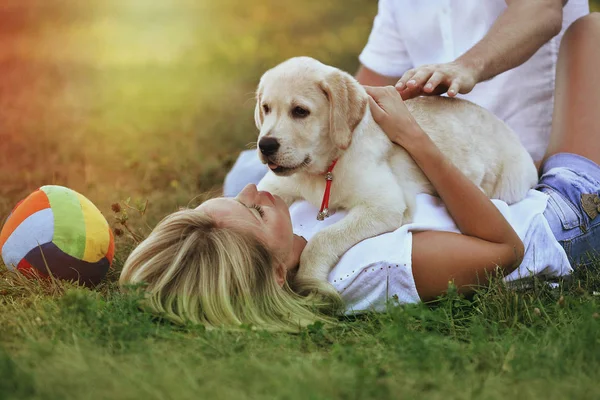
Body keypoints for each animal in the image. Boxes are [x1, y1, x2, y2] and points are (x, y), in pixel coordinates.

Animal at [255, 57, 536, 296]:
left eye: (300, 111)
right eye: (266, 108)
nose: (265, 145)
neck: (322, 170)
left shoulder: (384, 205)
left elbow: (322, 238)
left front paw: (310, 279)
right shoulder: (273, 186)